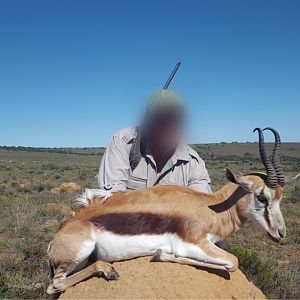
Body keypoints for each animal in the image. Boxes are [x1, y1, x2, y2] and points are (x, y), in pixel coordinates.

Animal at [47, 127, 298, 294]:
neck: (212, 207)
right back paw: (108, 270)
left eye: (280, 197)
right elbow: (233, 263)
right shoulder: (193, 243)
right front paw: (161, 254)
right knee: (55, 285)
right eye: (262, 197)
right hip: (80, 252)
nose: (280, 234)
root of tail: (57, 237)